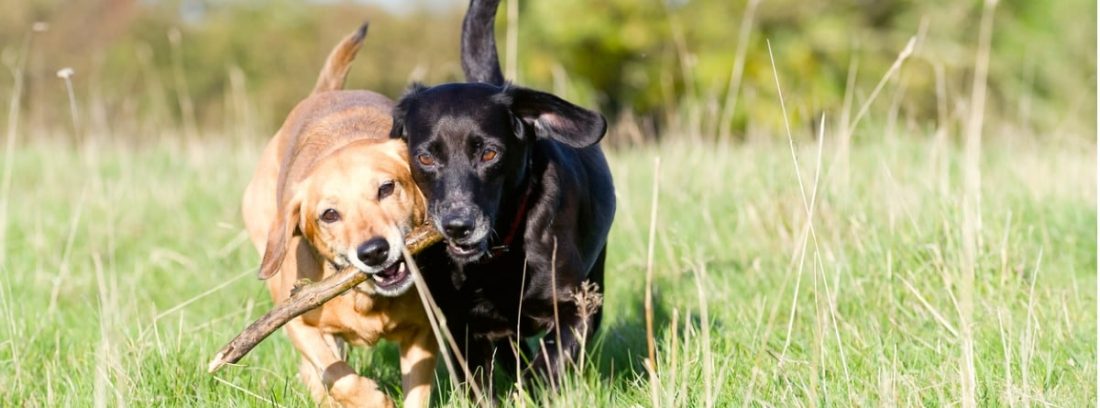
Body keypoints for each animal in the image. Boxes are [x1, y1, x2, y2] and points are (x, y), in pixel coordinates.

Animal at [391, 0, 616, 389]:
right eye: (426, 157)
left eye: (489, 153)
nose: (458, 225)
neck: (498, 255)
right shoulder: (460, 326)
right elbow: (480, 384)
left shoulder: (578, 307)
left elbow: (550, 363)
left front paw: (536, 387)